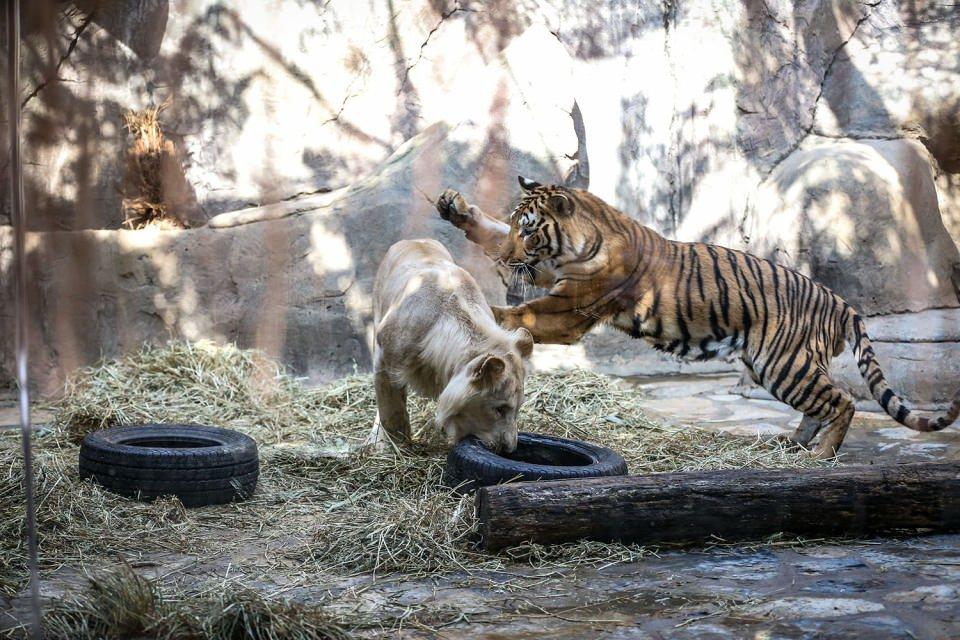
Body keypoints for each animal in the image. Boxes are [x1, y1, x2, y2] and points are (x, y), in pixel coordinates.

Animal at [436, 175, 960, 456]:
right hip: (779, 367)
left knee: (843, 400)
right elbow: (491, 237)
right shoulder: (549, 275)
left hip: (783, 364)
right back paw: (794, 445)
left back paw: (820, 455)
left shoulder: (569, 307)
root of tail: (839, 301)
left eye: (530, 232)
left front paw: (483, 308)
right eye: (517, 227)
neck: (577, 242)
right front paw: (456, 210)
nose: (508, 258)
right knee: (824, 402)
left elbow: (519, 314)